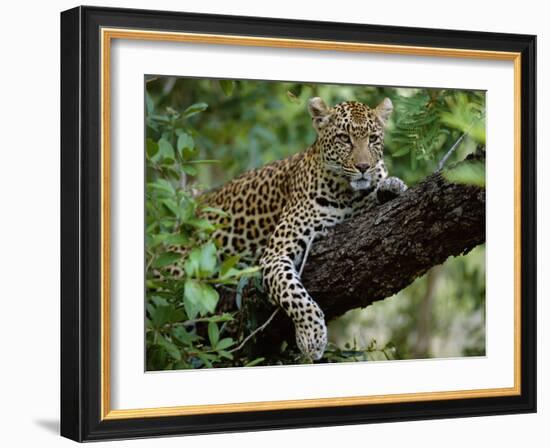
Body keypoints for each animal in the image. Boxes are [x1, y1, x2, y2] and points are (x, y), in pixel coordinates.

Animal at [162, 97, 408, 360]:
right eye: (344, 138)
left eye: (372, 138)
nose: (363, 166)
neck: (348, 194)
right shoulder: (275, 254)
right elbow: (295, 294)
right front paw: (312, 337)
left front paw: (391, 186)